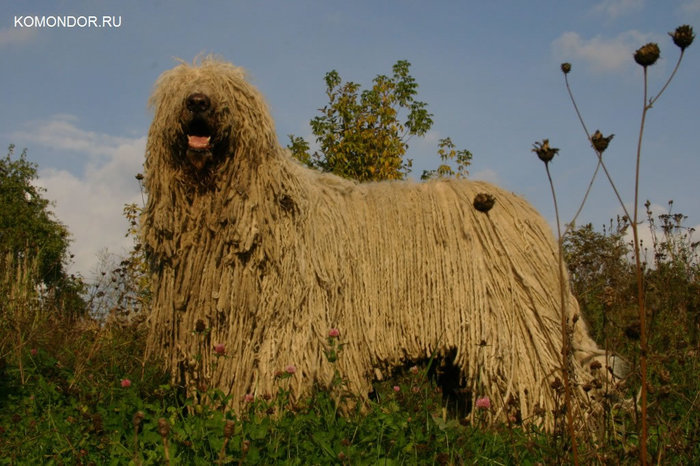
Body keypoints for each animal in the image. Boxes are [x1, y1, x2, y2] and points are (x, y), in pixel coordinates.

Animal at [142, 56, 624, 428]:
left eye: (229, 89)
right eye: (179, 90)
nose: (198, 101)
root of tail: (529, 215)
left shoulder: (289, 328)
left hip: (517, 327)